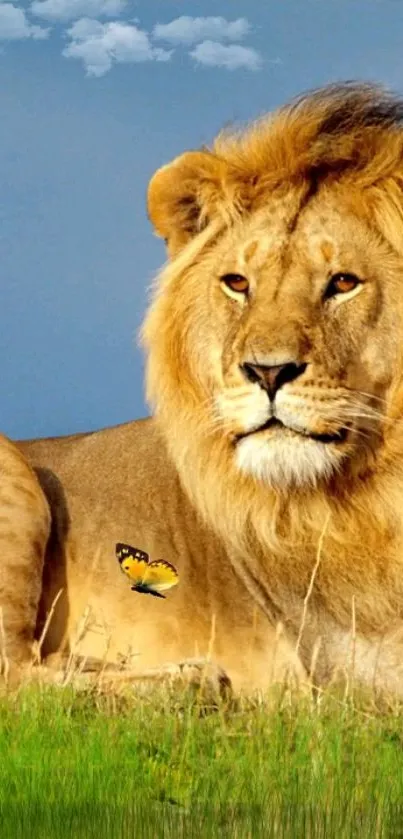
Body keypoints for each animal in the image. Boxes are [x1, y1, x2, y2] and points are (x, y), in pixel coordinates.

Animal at [3, 80, 403, 696]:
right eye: (237, 283)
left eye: (343, 283)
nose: (267, 372)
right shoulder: (347, 666)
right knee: (18, 679)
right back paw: (195, 682)